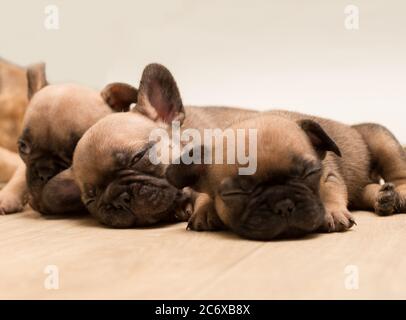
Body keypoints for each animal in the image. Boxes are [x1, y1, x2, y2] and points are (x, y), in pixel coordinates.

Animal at [165, 110, 406, 240]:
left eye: (310, 173)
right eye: (234, 194)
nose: (283, 204)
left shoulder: (328, 175)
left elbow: (330, 191)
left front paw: (332, 212)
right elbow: (205, 194)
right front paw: (205, 210)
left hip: (379, 138)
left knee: (398, 173)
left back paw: (398, 194)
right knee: (367, 190)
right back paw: (383, 196)